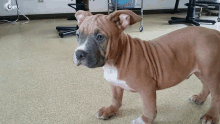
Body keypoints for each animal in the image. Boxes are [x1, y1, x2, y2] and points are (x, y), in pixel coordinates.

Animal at [73, 9, 219, 124]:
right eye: (77, 35)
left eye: (100, 37)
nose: (79, 53)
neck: (114, 61)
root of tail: (213, 32)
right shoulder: (115, 84)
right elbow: (116, 99)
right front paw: (110, 110)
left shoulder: (147, 87)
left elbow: (149, 108)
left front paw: (145, 120)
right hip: (202, 71)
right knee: (206, 87)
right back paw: (200, 98)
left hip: (210, 73)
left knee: (216, 95)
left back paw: (211, 115)